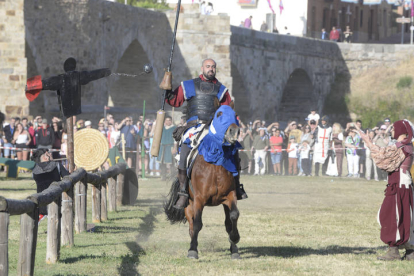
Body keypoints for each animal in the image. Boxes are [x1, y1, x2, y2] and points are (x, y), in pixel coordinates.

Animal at [164, 118, 241, 258]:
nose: (234, 131)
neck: (215, 166)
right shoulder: (199, 199)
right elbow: (197, 224)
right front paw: (193, 251)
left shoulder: (230, 196)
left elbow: (233, 216)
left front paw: (235, 242)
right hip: (189, 204)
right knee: (191, 225)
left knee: (227, 223)